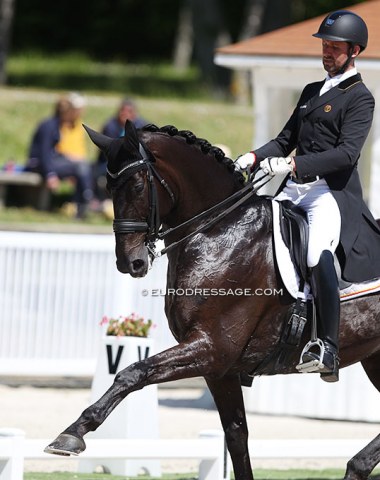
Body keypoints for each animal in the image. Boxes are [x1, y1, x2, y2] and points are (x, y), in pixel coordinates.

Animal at [46, 121, 380, 480]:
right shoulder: (220, 369)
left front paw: (72, 434)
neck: (218, 231)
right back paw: (357, 467)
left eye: (136, 185)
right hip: (375, 359)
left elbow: (133, 372)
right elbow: (236, 435)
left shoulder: (212, 347)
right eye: (108, 186)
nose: (129, 262)